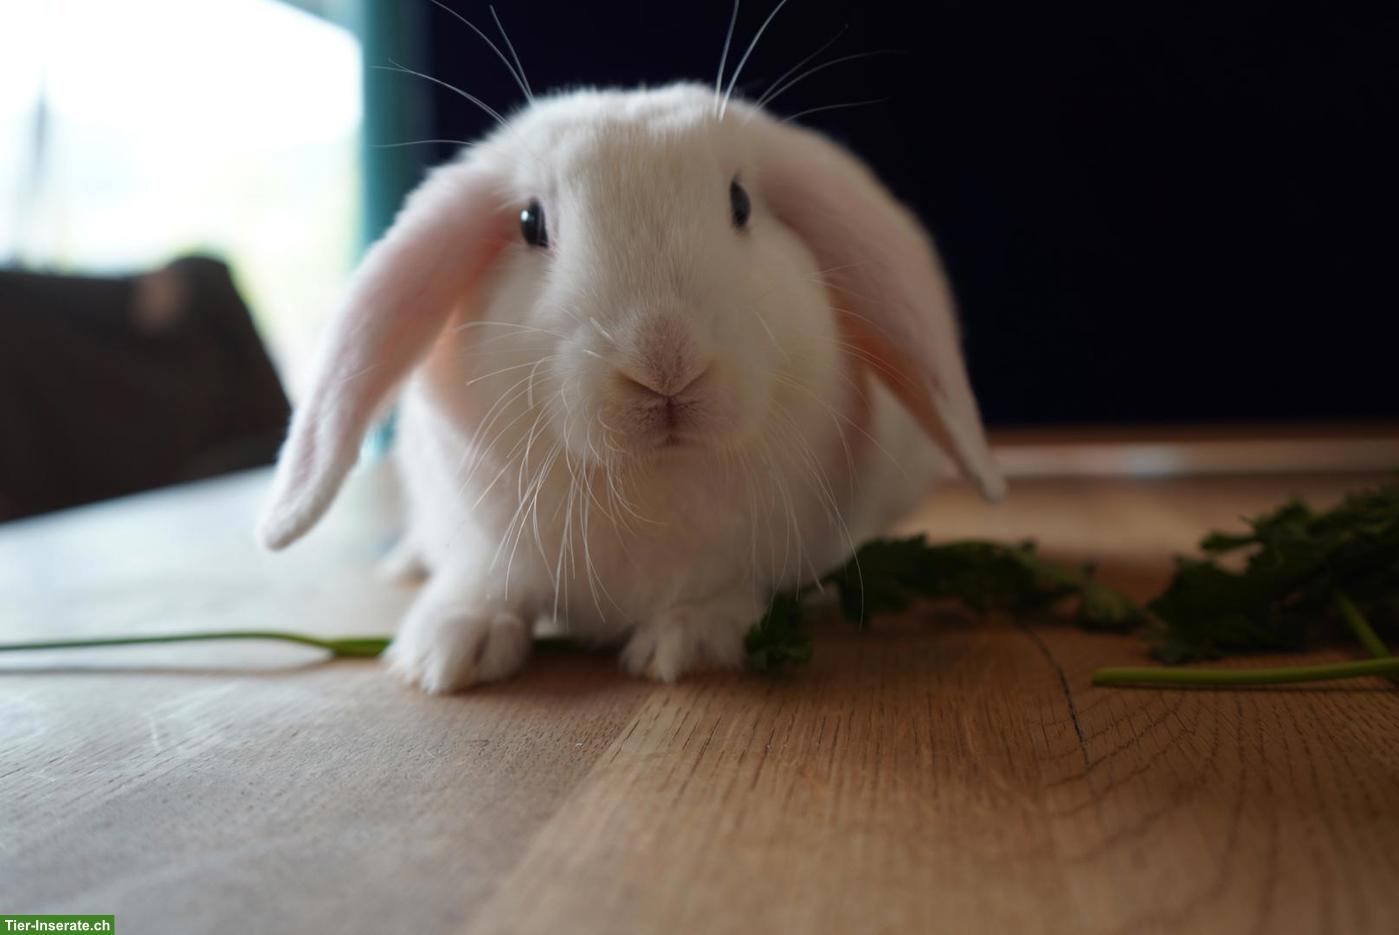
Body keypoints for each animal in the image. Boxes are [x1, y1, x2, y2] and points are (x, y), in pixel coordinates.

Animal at [257, 82, 1004, 693]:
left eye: (740, 203)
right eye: (530, 223)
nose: (664, 360)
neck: (649, 482)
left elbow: (726, 593)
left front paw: (686, 644)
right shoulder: (478, 532)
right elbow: (482, 578)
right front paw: (445, 650)